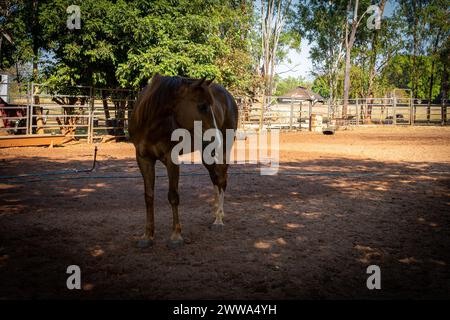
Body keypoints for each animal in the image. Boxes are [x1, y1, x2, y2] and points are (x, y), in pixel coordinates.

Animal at [128, 74, 239, 248]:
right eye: (202, 106)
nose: (217, 137)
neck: (150, 122)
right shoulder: (143, 159)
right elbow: (148, 196)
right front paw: (147, 236)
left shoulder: (171, 159)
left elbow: (173, 196)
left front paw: (176, 236)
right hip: (206, 152)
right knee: (215, 178)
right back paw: (215, 213)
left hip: (223, 150)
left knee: (221, 179)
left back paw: (219, 219)